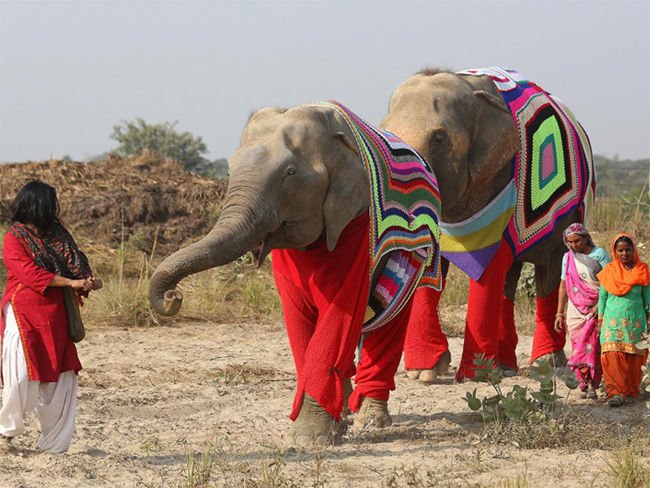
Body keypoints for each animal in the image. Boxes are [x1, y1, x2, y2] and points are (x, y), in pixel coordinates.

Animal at [149, 100, 443, 446]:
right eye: (229, 171)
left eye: (289, 174)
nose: (174, 296)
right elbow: (300, 318)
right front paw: (327, 427)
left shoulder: (354, 226)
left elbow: (338, 316)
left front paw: (309, 438)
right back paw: (345, 411)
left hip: (410, 255)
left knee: (388, 320)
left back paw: (372, 419)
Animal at [380, 66, 595, 380]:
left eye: (439, 139)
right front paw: (425, 372)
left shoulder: (499, 183)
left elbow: (489, 265)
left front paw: (476, 374)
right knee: (510, 278)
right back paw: (506, 365)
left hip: (566, 217)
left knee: (548, 273)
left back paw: (546, 362)